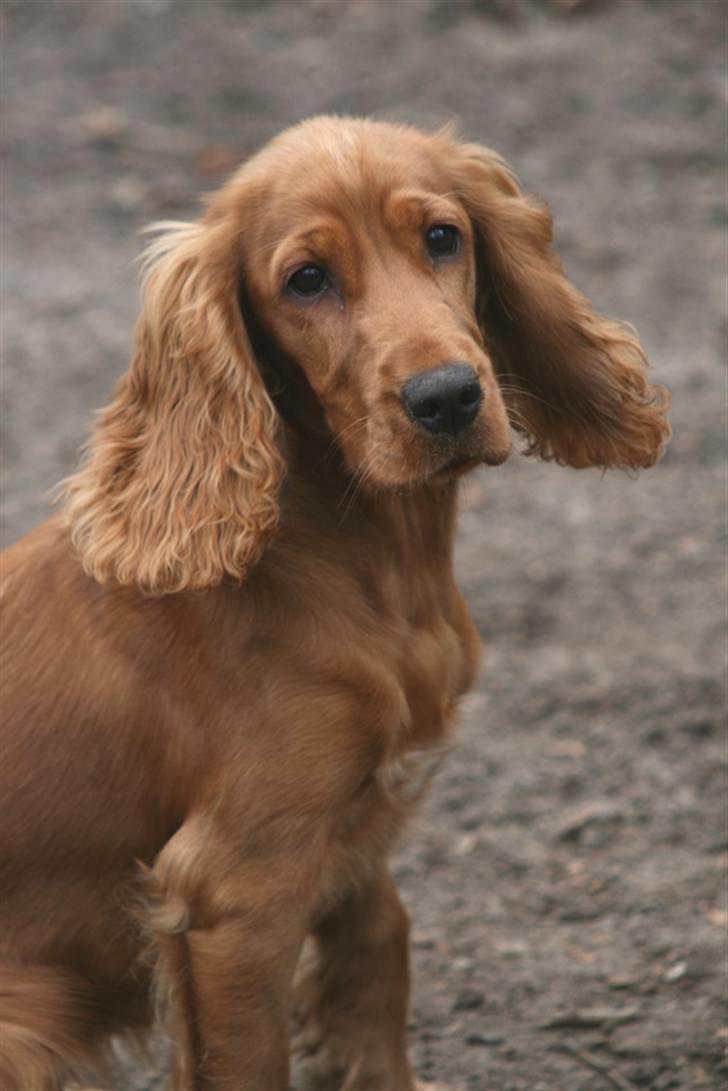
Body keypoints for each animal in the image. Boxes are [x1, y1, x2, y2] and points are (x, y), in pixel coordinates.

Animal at [1, 115, 672, 1086]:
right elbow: (253, 1058)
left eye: (443, 237)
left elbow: (379, 947)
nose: (448, 397)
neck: (371, 559)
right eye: (306, 280)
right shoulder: (236, 889)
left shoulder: (356, 820)